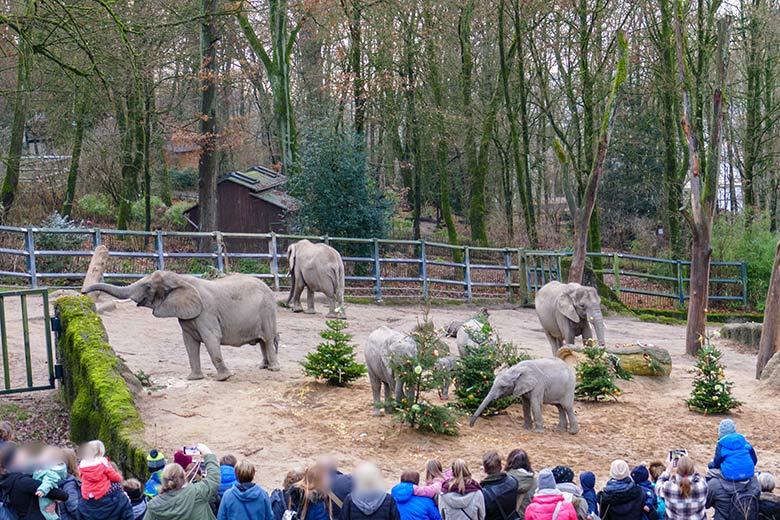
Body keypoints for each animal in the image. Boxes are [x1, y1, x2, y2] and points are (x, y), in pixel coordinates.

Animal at [81, 270, 278, 380]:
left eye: (147, 286)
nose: (82, 292)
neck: (181, 279)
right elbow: (189, 343)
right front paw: (193, 379)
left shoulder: (206, 312)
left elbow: (211, 338)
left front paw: (224, 378)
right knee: (262, 341)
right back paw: (263, 367)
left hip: (267, 311)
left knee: (268, 339)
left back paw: (274, 369)